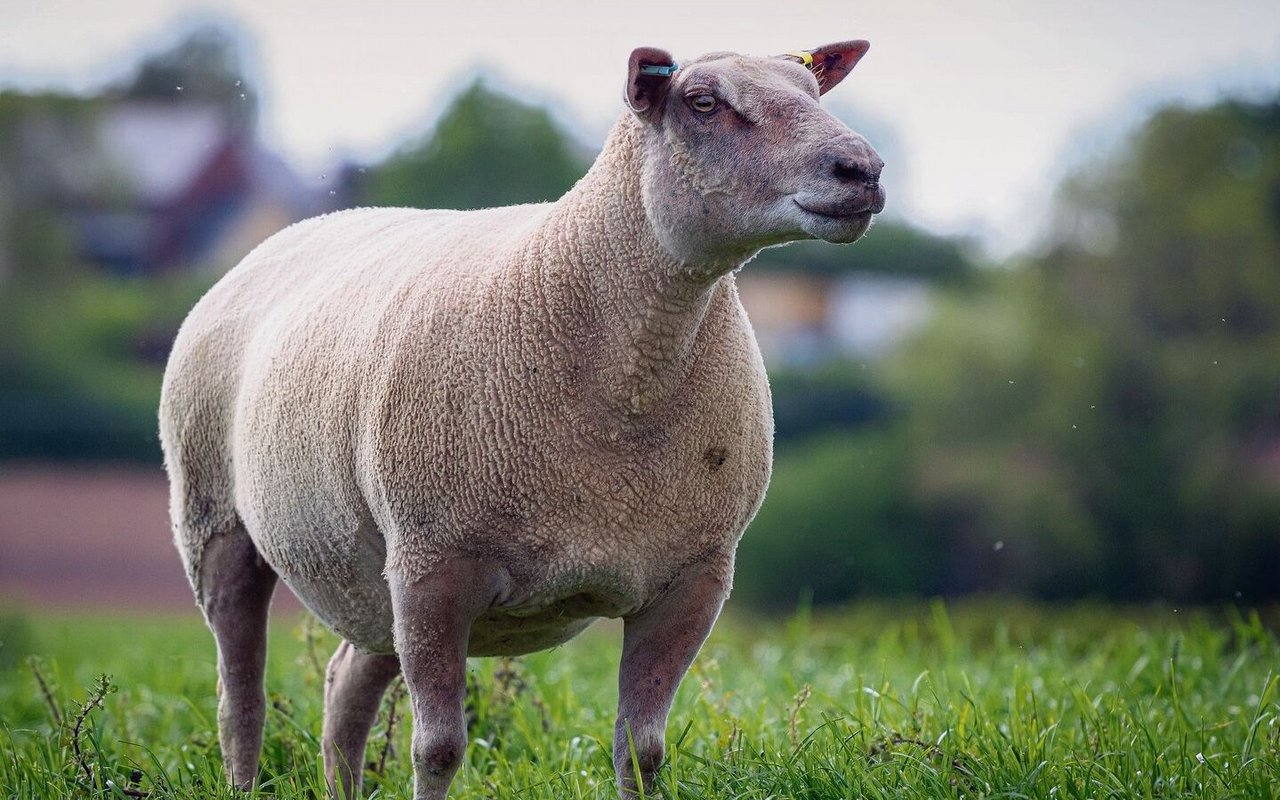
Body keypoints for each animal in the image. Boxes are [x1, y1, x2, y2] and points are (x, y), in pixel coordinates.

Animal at [157, 39, 880, 798]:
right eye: (703, 102)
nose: (862, 170)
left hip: (373, 574)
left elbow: (642, 752)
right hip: (216, 521)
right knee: (240, 700)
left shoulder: (692, 580)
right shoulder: (436, 567)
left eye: (813, 90)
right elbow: (438, 747)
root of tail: (295, 232)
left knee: (344, 686)